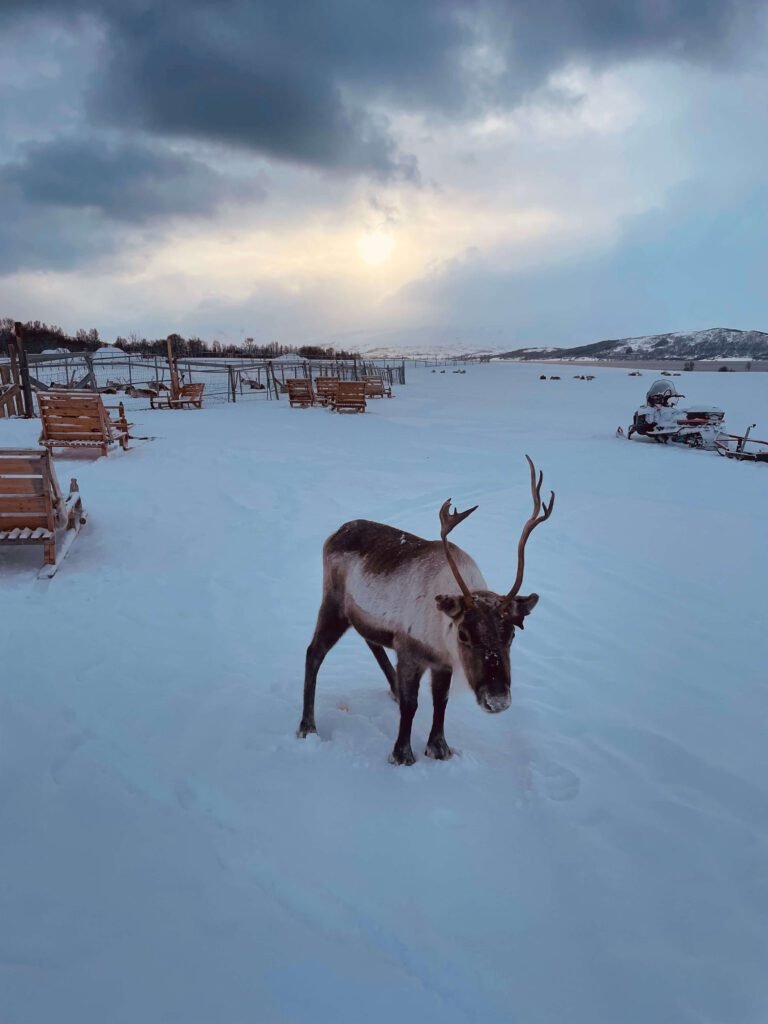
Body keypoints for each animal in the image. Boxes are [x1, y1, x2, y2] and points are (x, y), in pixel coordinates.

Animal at [297, 456, 554, 765]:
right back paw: (307, 726)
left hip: (359, 615)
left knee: (371, 641)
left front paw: (439, 748)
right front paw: (402, 754)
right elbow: (412, 706)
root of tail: (336, 532)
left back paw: (392, 688)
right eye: (464, 635)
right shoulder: (411, 653)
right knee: (314, 652)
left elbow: (440, 702)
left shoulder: (442, 663)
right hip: (333, 605)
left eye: (511, 635)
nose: (497, 701)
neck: (442, 637)